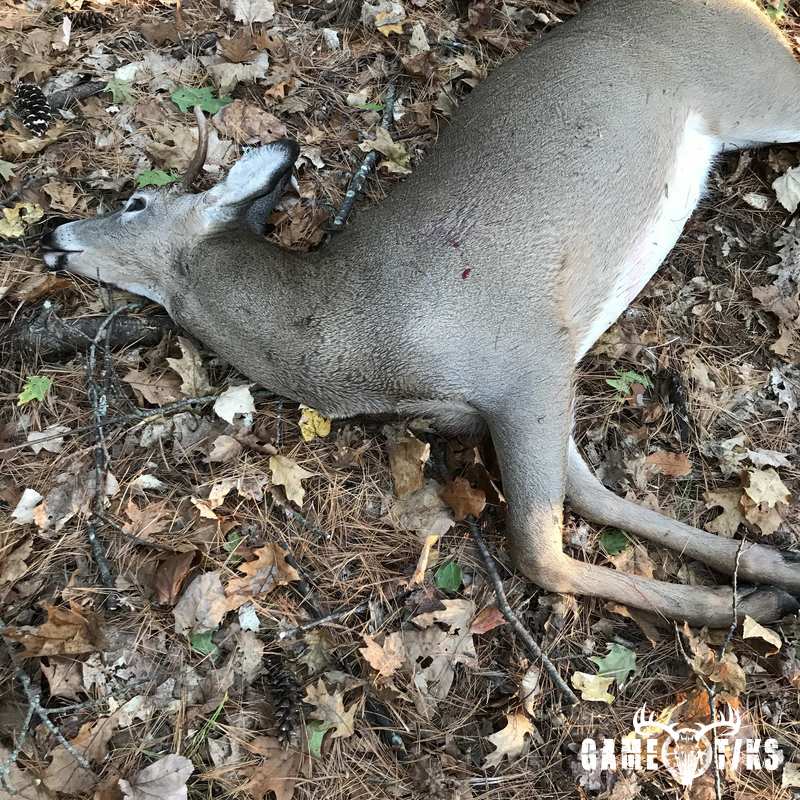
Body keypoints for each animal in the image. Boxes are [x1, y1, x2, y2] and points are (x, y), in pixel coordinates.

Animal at [40, 0, 800, 627]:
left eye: (136, 202)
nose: (52, 231)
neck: (342, 333)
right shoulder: (526, 388)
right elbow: (594, 501)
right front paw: (770, 570)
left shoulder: (527, 362)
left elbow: (539, 552)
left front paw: (756, 602)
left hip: (758, 83)